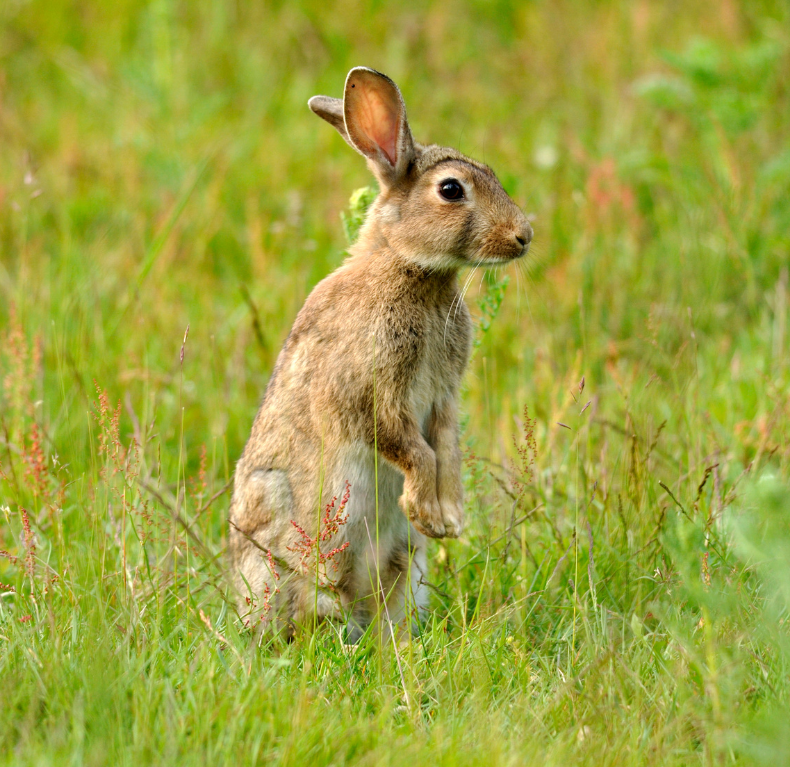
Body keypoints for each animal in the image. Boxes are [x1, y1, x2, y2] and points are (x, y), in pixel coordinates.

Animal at [228, 67, 532, 641]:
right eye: (451, 189)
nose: (524, 236)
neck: (409, 266)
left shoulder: (443, 396)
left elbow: (446, 447)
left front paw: (448, 518)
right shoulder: (373, 392)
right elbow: (415, 449)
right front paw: (428, 511)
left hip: (403, 565)